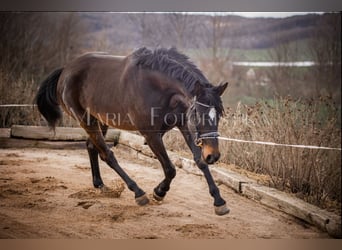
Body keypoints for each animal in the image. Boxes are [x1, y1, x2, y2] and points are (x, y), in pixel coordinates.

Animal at [35, 47, 230, 215]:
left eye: (219, 114)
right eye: (198, 113)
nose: (213, 155)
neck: (160, 88)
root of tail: (66, 70)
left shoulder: (182, 124)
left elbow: (200, 162)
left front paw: (219, 202)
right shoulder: (151, 135)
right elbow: (170, 169)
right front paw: (159, 192)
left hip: (100, 119)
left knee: (92, 146)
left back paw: (100, 185)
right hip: (86, 120)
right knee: (107, 155)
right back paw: (138, 192)